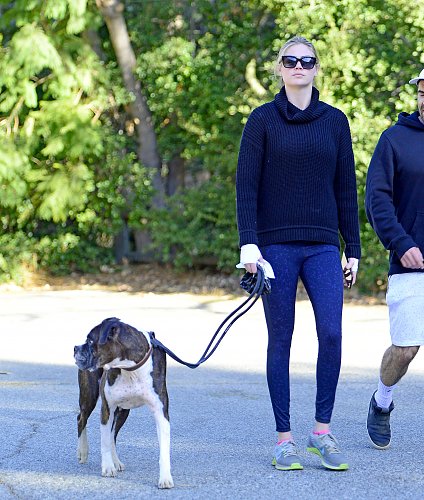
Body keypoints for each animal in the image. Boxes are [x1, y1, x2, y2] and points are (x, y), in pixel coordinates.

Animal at [73, 317, 174, 489]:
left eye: (90, 340)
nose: (75, 348)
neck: (131, 368)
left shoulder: (161, 414)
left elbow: (164, 449)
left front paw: (165, 478)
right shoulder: (106, 409)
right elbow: (105, 442)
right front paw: (107, 468)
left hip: (123, 411)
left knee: (113, 434)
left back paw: (116, 461)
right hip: (89, 396)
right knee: (81, 419)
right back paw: (83, 451)